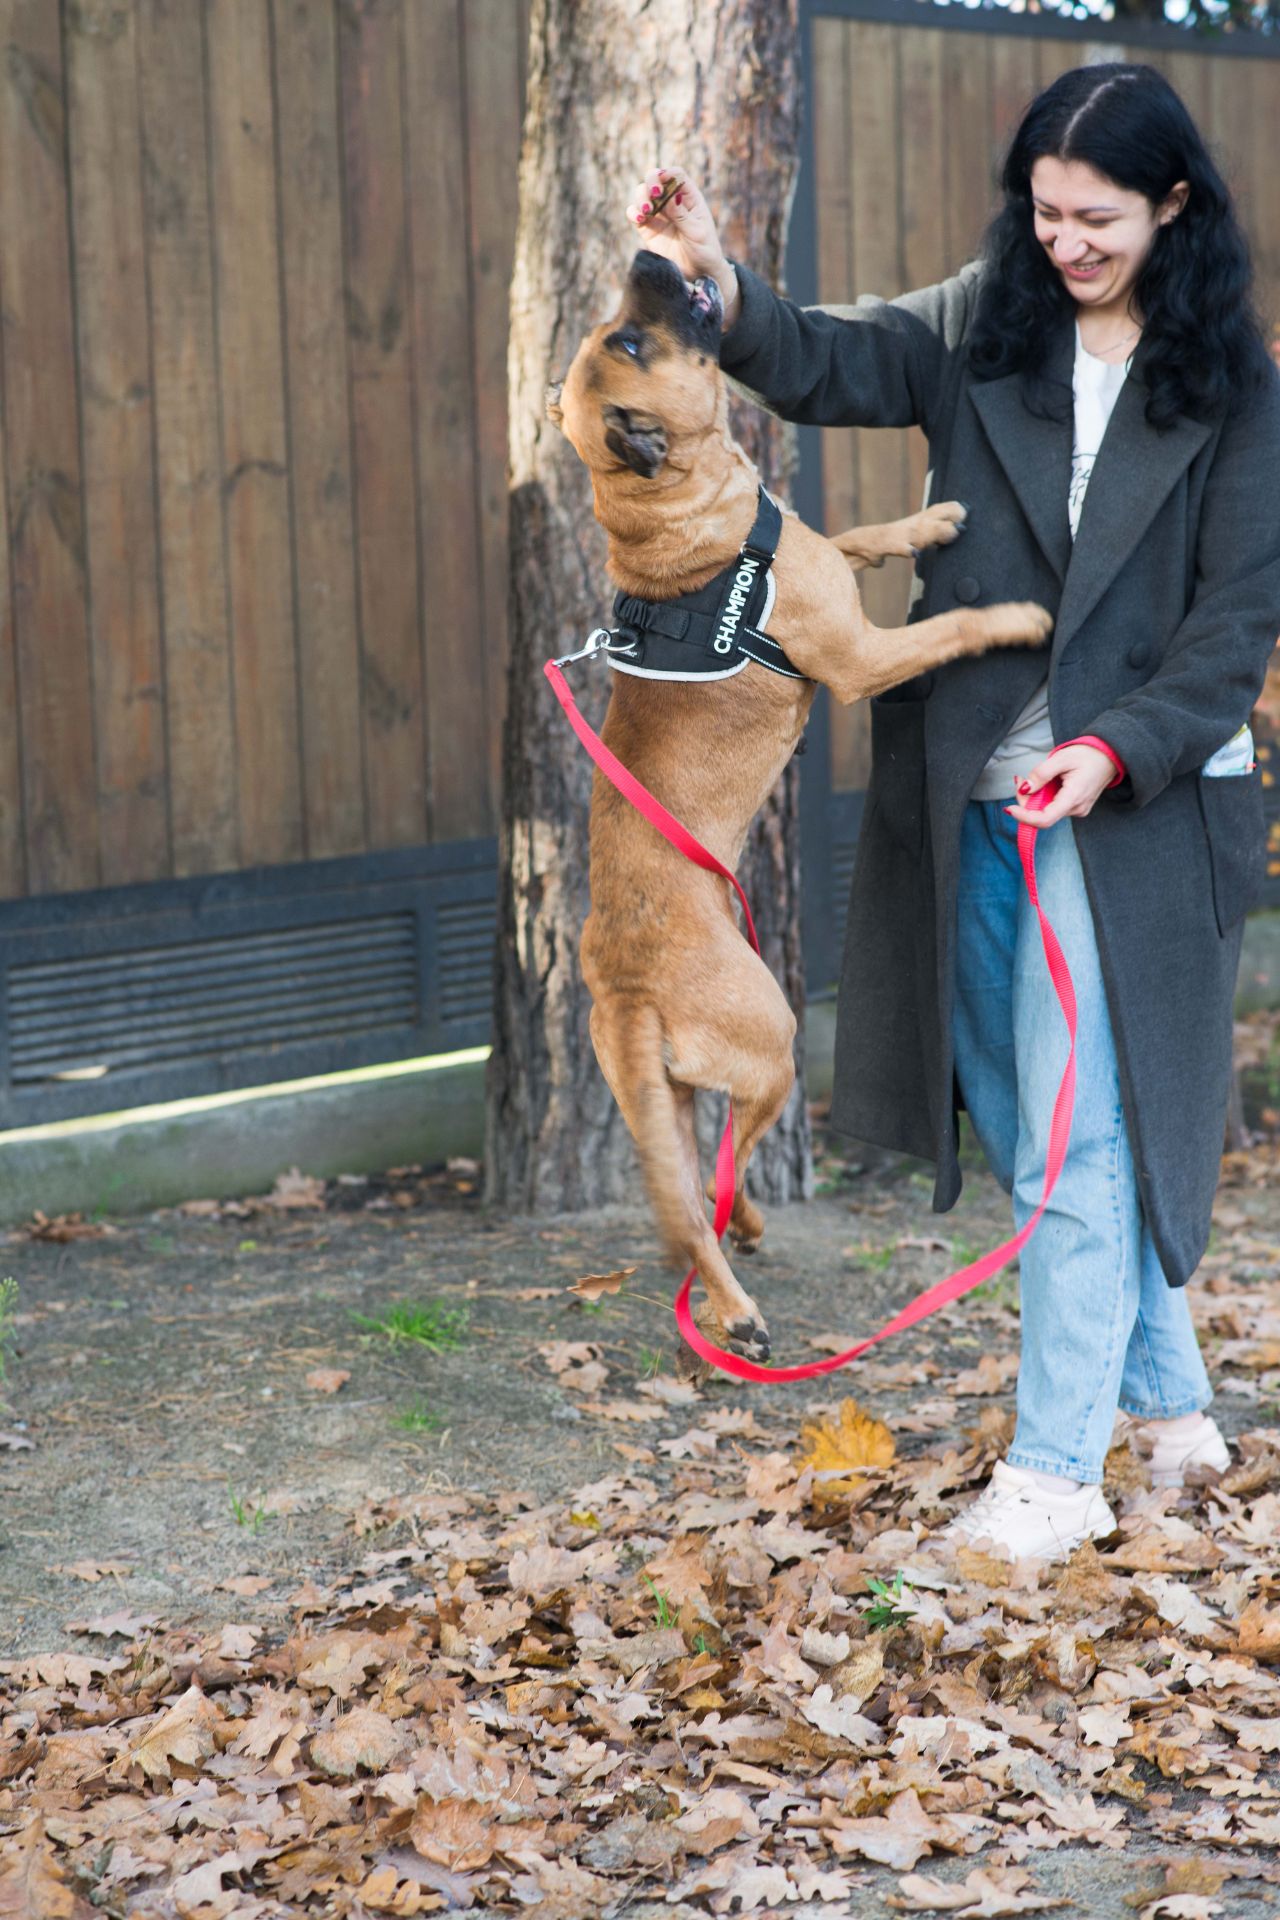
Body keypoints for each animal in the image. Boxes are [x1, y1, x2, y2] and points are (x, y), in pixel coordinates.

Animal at [552, 251, 1051, 1367]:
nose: (648, 255)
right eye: (632, 340)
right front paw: (1015, 616)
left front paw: (931, 521)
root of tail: (626, 983)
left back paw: (734, 1255)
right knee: (723, 1171)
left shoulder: (828, 558)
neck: (668, 517)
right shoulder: (862, 659)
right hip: (775, 1044)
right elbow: (947, 627)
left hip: (661, 1097)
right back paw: (737, 1307)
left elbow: (865, 532)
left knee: (694, 1189)